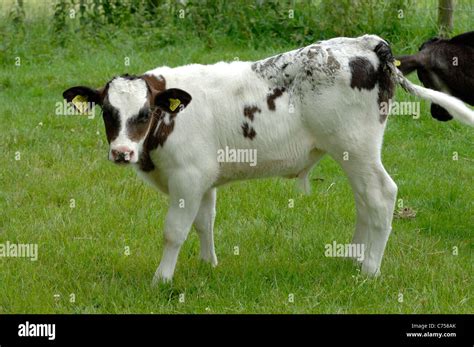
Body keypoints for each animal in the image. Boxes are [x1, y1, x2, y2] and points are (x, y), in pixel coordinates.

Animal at [63, 34, 474, 286]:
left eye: (145, 113)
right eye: (107, 113)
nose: (121, 152)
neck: (171, 119)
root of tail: (367, 44)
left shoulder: (187, 177)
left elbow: (174, 231)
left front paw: (161, 280)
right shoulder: (203, 179)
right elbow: (204, 223)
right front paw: (208, 265)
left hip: (357, 147)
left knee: (381, 195)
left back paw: (370, 270)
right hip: (351, 152)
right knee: (364, 201)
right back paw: (352, 259)